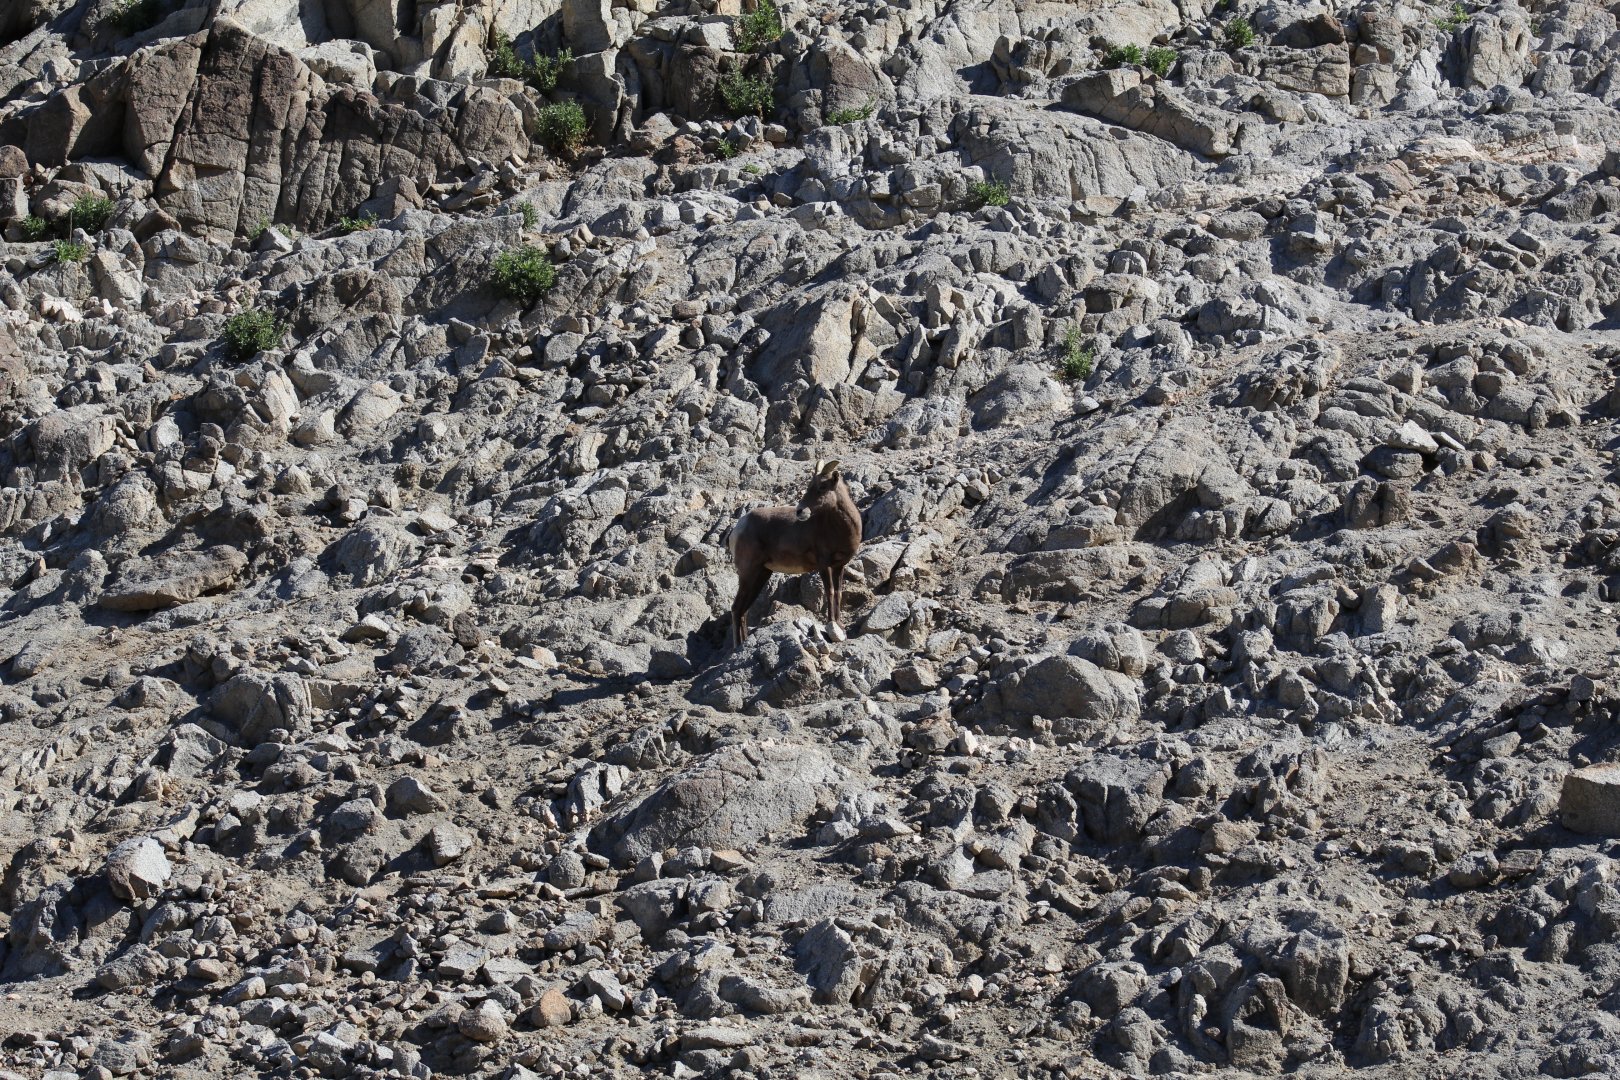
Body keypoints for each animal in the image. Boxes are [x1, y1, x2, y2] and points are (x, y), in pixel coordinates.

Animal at [726, 459, 862, 646]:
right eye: (810, 485)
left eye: (822, 486)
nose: (800, 511)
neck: (840, 529)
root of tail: (738, 528)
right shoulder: (824, 565)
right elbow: (830, 592)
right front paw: (831, 625)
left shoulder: (839, 566)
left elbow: (838, 593)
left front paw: (840, 626)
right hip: (748, 573)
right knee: (736, 608)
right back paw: (737, 646)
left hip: (761, 574)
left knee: (743, 610)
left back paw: (744, 644)